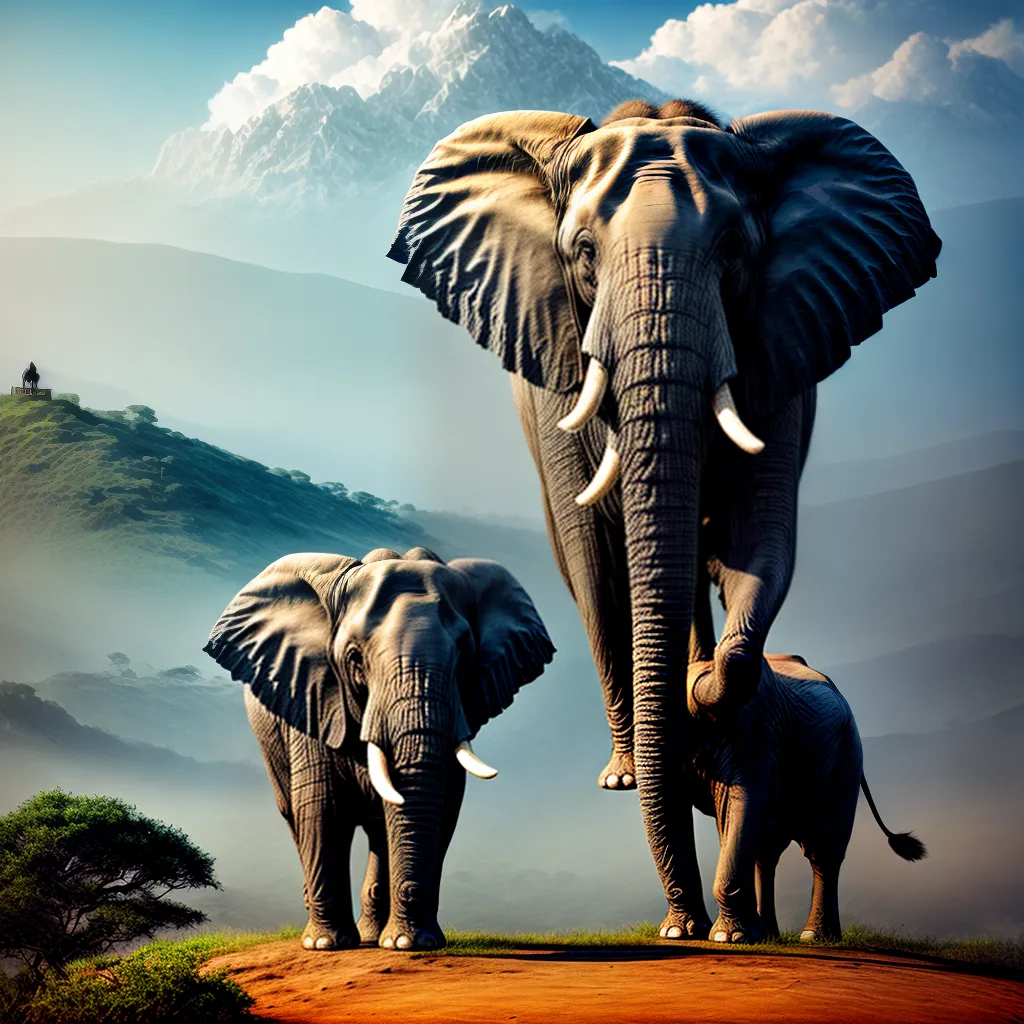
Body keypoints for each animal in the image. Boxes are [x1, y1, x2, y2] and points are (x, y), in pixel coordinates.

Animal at [204, 546, 554, 952]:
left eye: (466, 654)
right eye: (355, 658)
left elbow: (443, 808)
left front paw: (410, 943)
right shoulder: (313, 696)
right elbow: (322, 807)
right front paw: (326, 945)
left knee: (379, 829)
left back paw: (374, 936)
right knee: (294, 814)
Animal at [684, 652, 926, 944]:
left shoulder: (753, 735)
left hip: (846, 758)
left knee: (824, 848)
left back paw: (814, 937)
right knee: (769, 849)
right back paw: (771, 935)